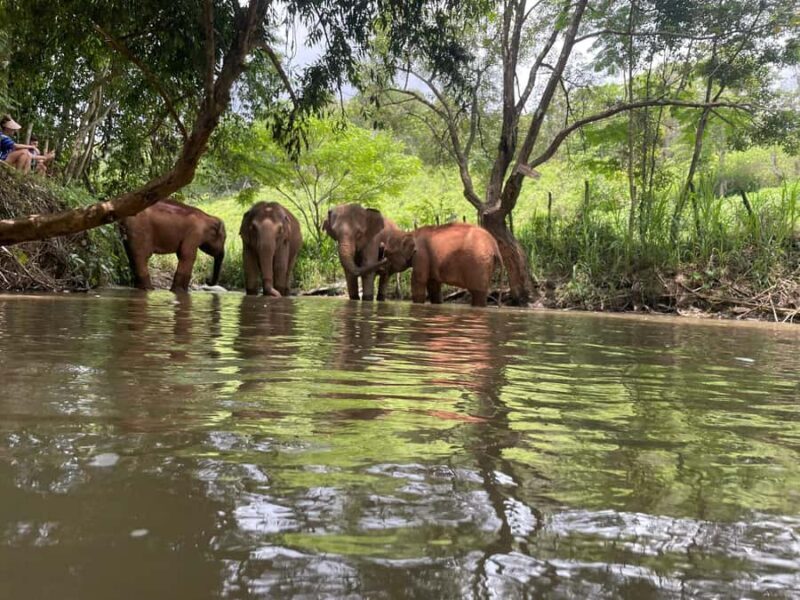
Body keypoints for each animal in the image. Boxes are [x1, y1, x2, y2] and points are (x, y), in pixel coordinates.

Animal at [364, 223, 502, 307]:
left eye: (388, 253)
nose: (382, 268)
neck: (411, 233)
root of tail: (494, 245)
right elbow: (433, 285)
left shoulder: (421, 255)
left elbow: (418, 281)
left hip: (479, 264)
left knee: (478, 292)